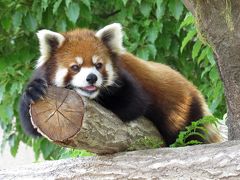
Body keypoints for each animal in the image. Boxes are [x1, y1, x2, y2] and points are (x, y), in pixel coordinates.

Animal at [19, 22, 222, 146]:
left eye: (98, 65)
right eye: (75, 67)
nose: (91, 78)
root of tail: (196, 93)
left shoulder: (129, 83)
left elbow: (133, 105)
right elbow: (32, 126)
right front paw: (33, 90)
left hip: (187, 115)